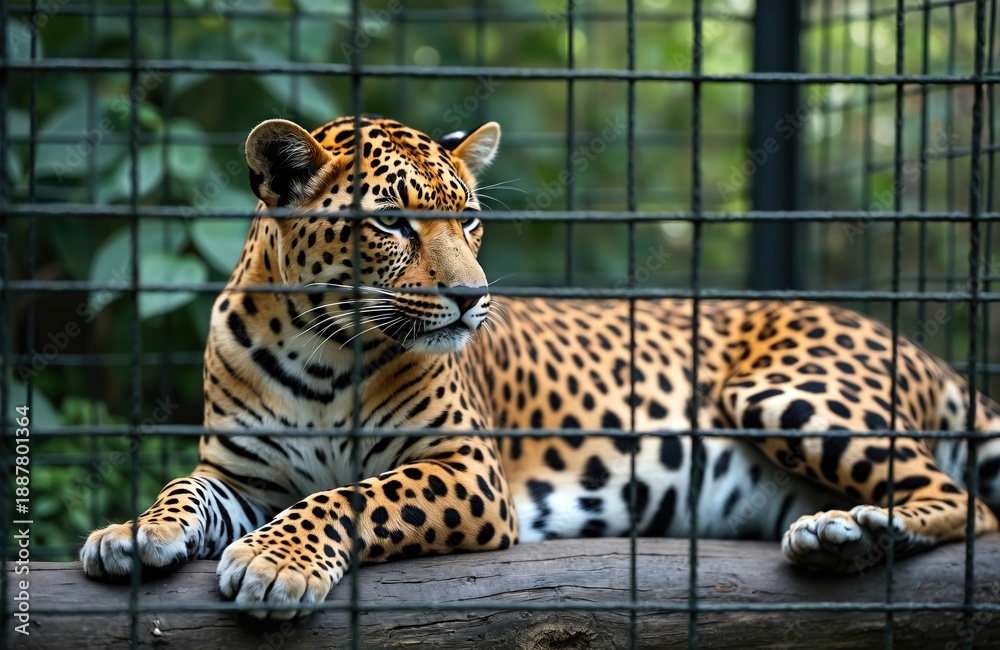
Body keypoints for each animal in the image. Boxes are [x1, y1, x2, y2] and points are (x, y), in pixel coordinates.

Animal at [81, 113, 1000, 620]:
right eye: (392, 223)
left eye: (469, 218)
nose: (471, 298)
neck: (322, 347)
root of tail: (916, 347)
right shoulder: (241, 475)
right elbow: (186, 488)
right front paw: (133, 532)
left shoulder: (467, 471)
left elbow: (351, 496)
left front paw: (276, 562)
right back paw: (843, 537)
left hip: (776, 392)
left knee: (968, 504)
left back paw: (858, 531)